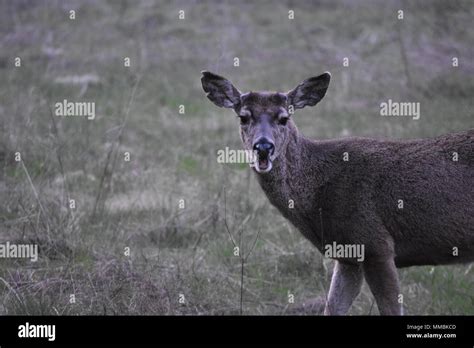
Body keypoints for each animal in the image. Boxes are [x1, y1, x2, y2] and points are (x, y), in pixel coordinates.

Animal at [201, 70, 474, 316]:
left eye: (284, 118)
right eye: (244, 117)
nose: (264, 147)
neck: (317, 197)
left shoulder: (375, 243)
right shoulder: (347, 255)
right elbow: (332, 308)